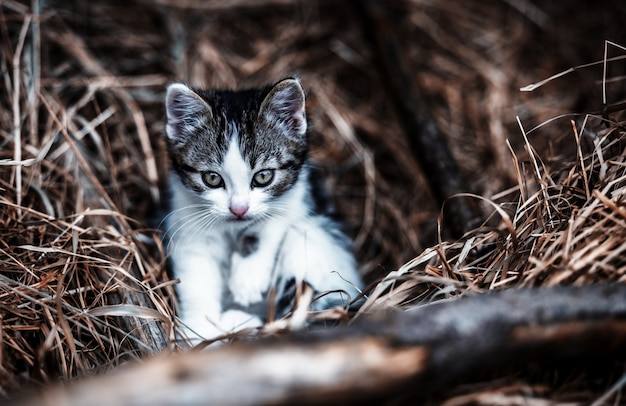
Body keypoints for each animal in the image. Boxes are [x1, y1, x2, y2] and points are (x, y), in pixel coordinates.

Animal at [163, 77, 364, 342]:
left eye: (263, 176)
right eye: (212, 178)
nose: (238, 209)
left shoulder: (295, 197)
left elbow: (268, 226)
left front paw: (247, 281)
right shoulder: (187, 222)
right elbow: (196, 275)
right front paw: (200, 331)